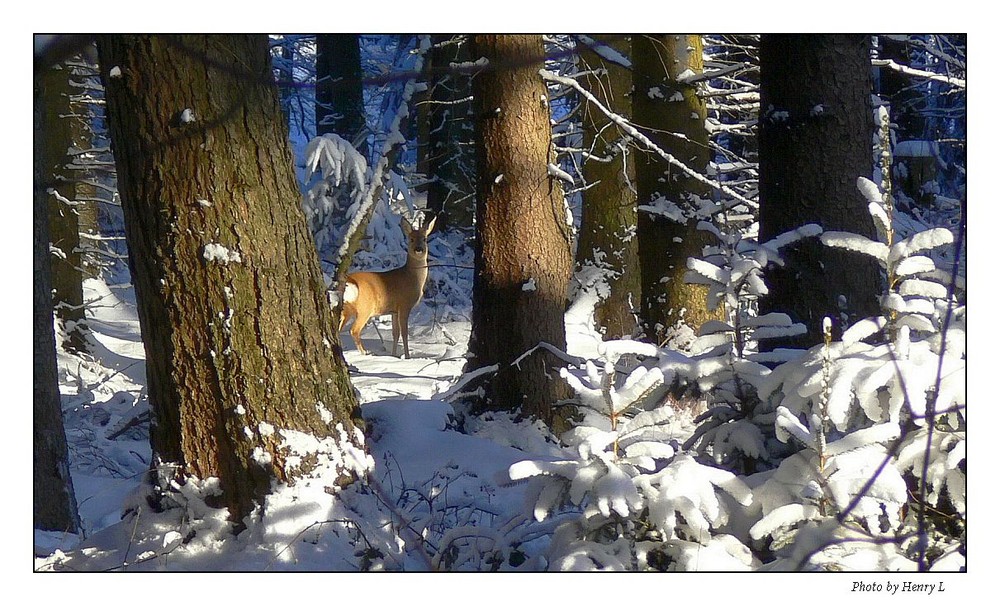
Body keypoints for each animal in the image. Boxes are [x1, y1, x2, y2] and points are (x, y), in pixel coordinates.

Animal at [338, 217, 436, 358]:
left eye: (424, 239)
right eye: (411, 239)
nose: (419, 249)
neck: (412, 278)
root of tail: (349, 281)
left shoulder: (394, 311)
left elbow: (395, 333)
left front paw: (394, 355)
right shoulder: (404, 305)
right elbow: (405, 333)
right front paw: (407, 357)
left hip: (346, 309)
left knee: (337, 329)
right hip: (364, 308)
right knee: (354, 330)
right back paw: (365, 353)